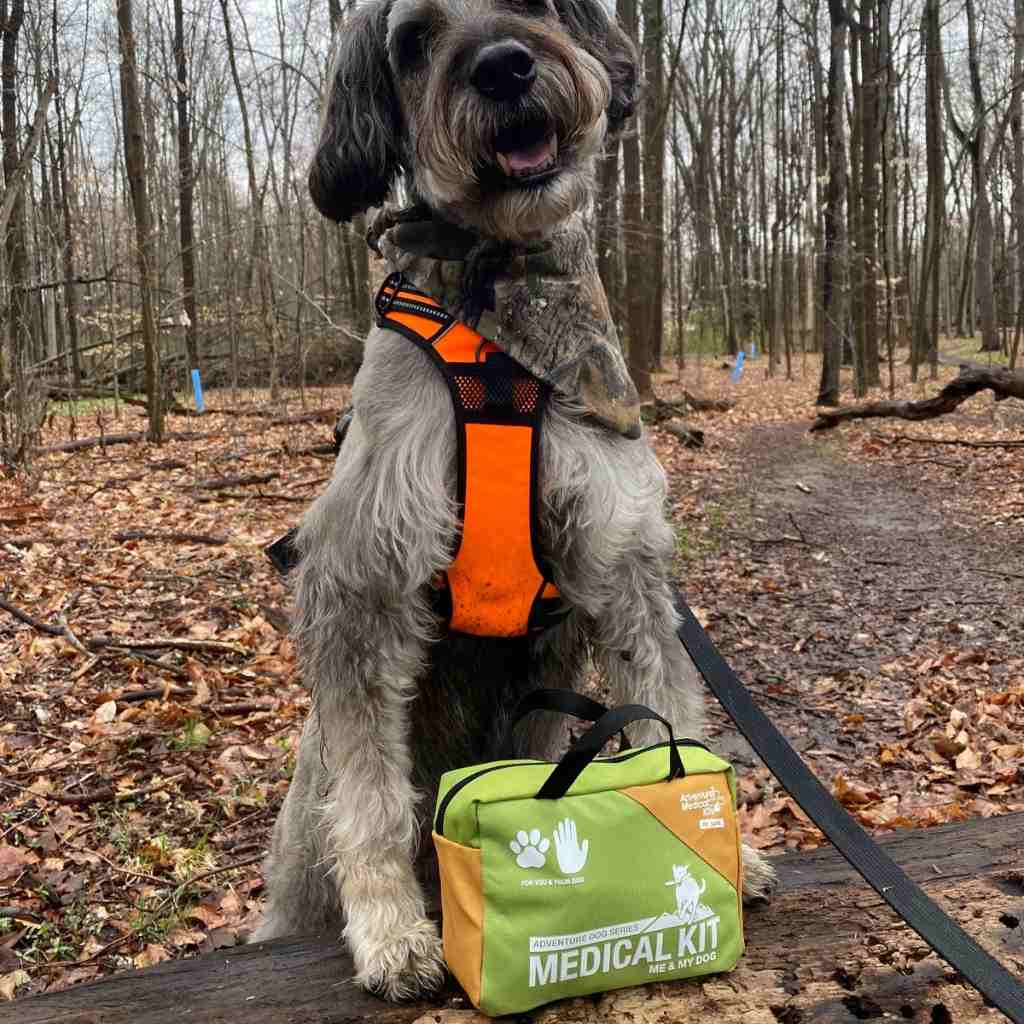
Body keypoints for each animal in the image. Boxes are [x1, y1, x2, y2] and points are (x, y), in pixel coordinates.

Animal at [251, 0, 770, 999]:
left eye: (534, 6)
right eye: (414, 39)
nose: (502, 68)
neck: (502, 301)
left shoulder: (623, 552)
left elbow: (667, 697)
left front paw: (727, 844)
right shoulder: (363, 569)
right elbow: (371, 794)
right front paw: (391, 930)